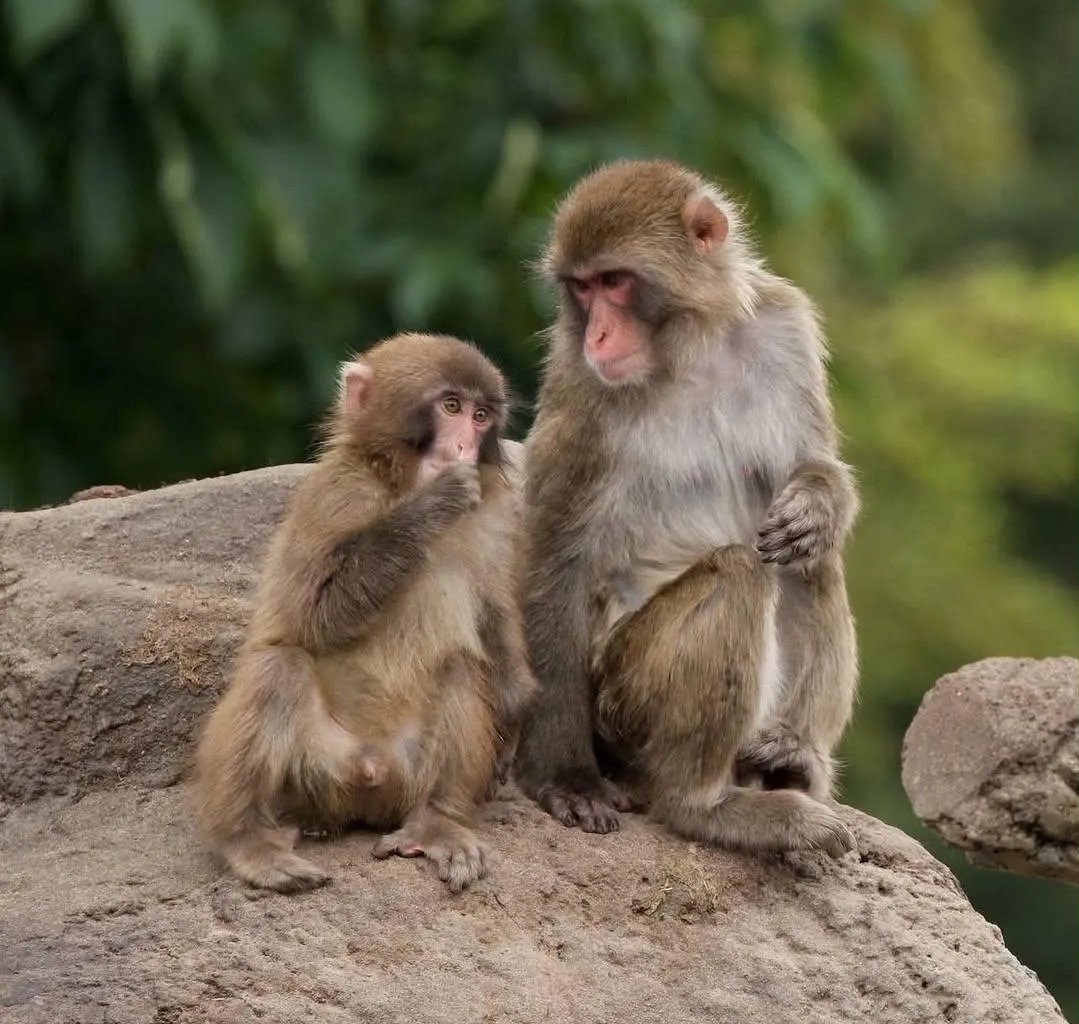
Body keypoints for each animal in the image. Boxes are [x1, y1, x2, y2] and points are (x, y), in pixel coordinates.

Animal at [190, 332, 536, 893]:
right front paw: (433, 505)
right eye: (451, 407)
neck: (397, 484)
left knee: (461, 667)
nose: (464, 445)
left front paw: (516, 712)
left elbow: (494, 612)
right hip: (315, 769)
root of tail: (369, 773)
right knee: (278, 666)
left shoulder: (498, 518)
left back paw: (438, 821)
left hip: (405, 773)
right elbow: (314, 614)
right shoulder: (336, 493)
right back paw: (246, 841)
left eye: (481, 415)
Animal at [512, 159, 858, 856]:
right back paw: (704, 806)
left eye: (614, 282)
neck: (694, 349)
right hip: (623, 697)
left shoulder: (786, 328)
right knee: (740, 572)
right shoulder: (580, 384)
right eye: (581, 289)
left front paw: (818, 502)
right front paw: (565, 779)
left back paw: (791, 754)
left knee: (809, 564)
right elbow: (556, 558)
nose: (597, 333)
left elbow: (811, 465)